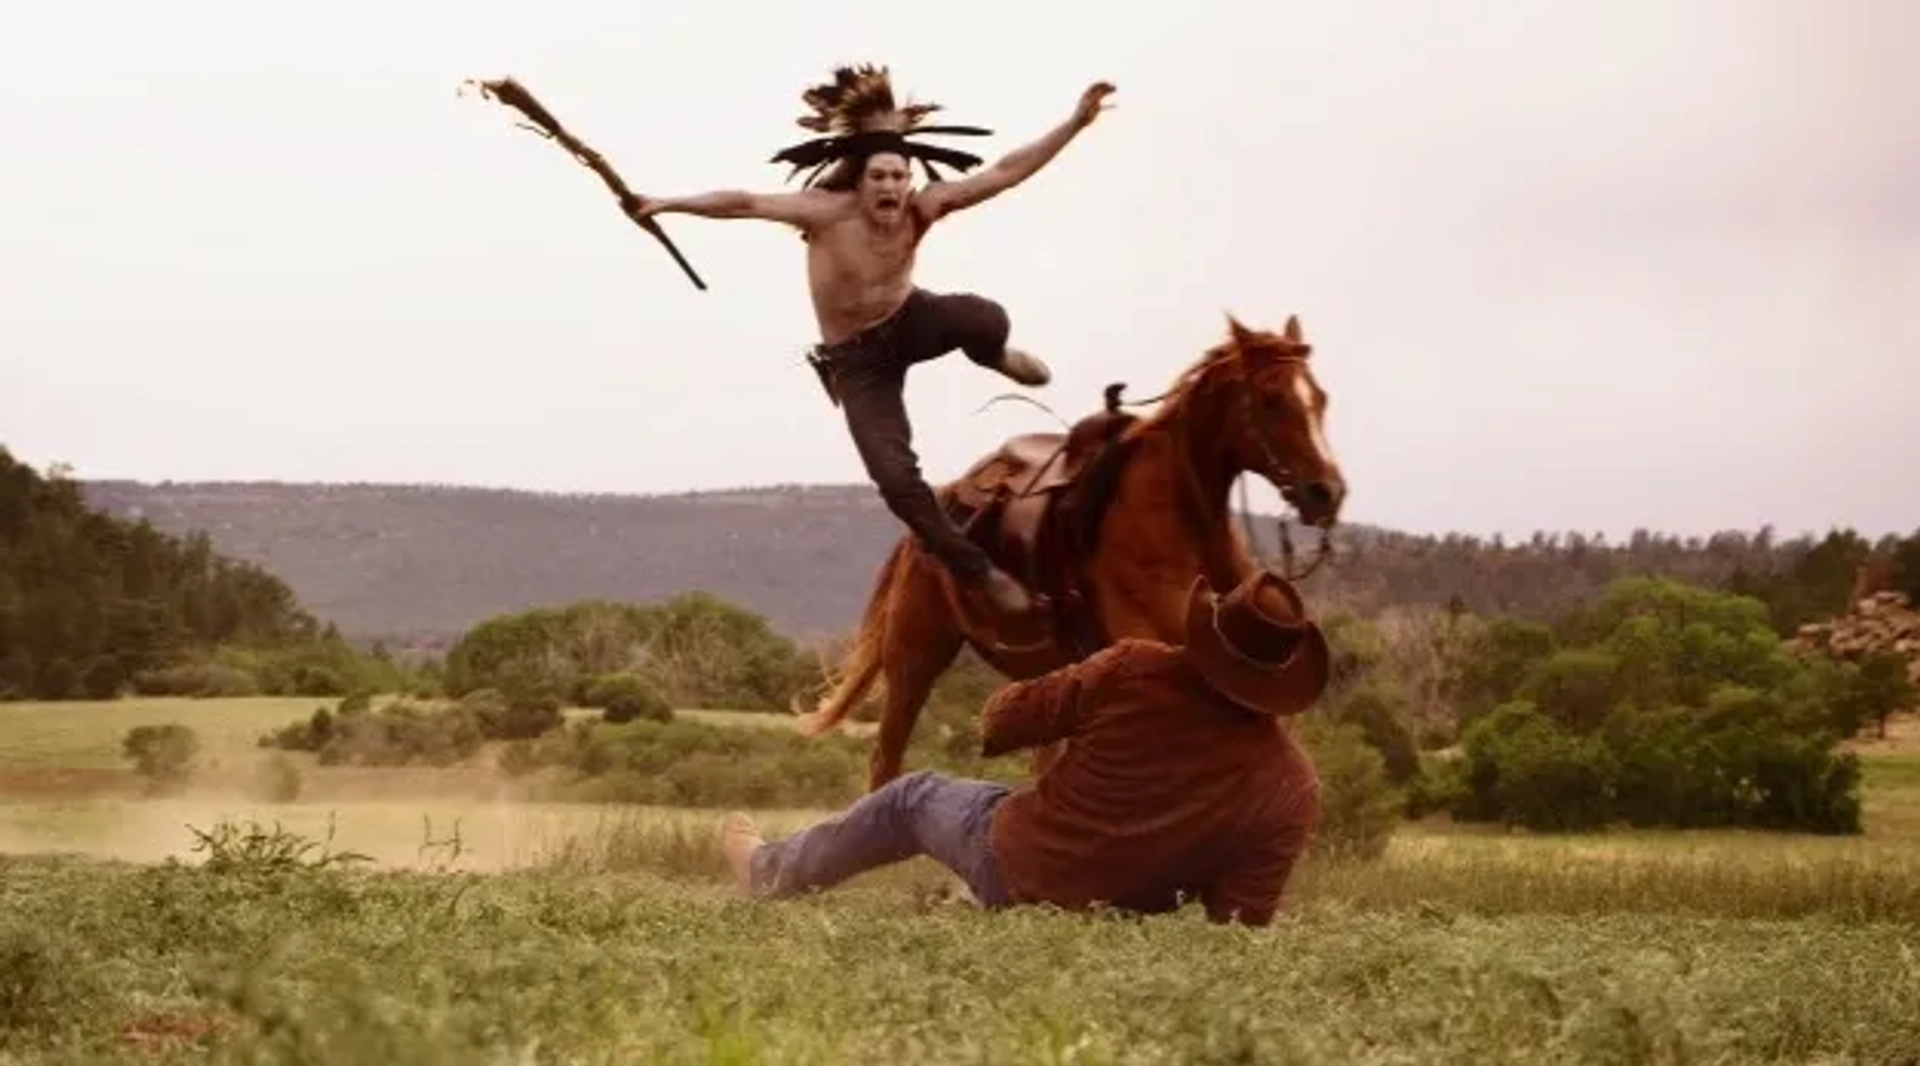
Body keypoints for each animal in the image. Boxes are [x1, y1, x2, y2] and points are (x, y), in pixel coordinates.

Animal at [794, 313, 1351, 787]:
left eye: (1321, 398)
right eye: (1271, 398)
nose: (1327, 492)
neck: (1178, 525)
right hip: (915, 657)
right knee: (885, 760)